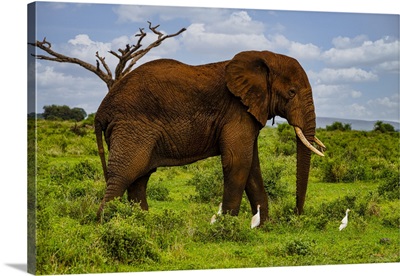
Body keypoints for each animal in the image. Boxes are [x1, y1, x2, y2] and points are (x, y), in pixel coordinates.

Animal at [94, 50, 324, 225]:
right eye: (292, 92)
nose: (296, 215)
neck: (262, 58)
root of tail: (101, 110)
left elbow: (252, 167)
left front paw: (263, 227)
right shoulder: (237, 110)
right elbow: (238, 162)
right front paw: (227, 227)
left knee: (139, 179)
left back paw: (141, 223)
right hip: (132, 127)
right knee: (124, 174)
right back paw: (105, 223)